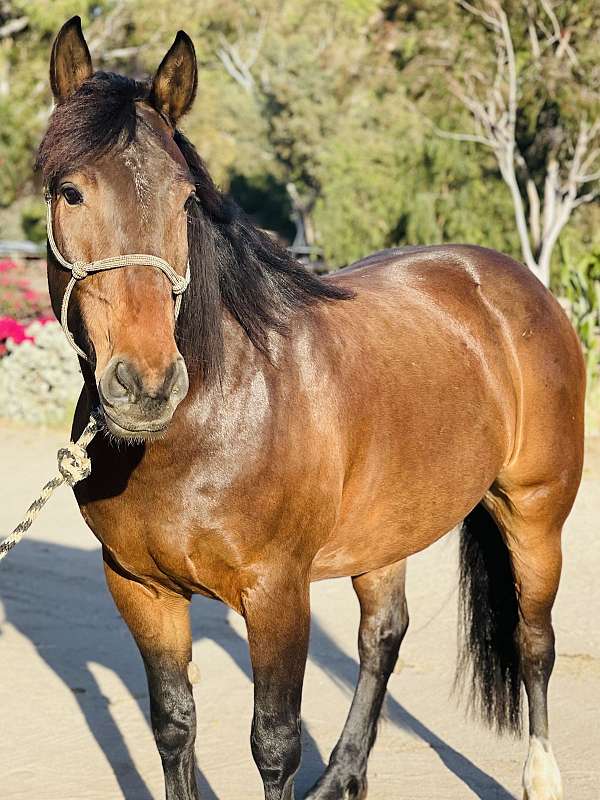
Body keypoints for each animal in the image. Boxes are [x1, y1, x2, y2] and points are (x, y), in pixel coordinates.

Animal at [39, 15, 584, 800]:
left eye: (185, 201)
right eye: (70, 192)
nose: (145, 385)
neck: (206, 422)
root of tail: (517, 282)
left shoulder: (276, 593)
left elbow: (274, 744)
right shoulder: (139, 588)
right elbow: (173, 726)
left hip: (536, 512)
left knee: (533, 640)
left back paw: (539, 775)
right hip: (388, 528)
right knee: (383, 636)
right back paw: (344, 776)